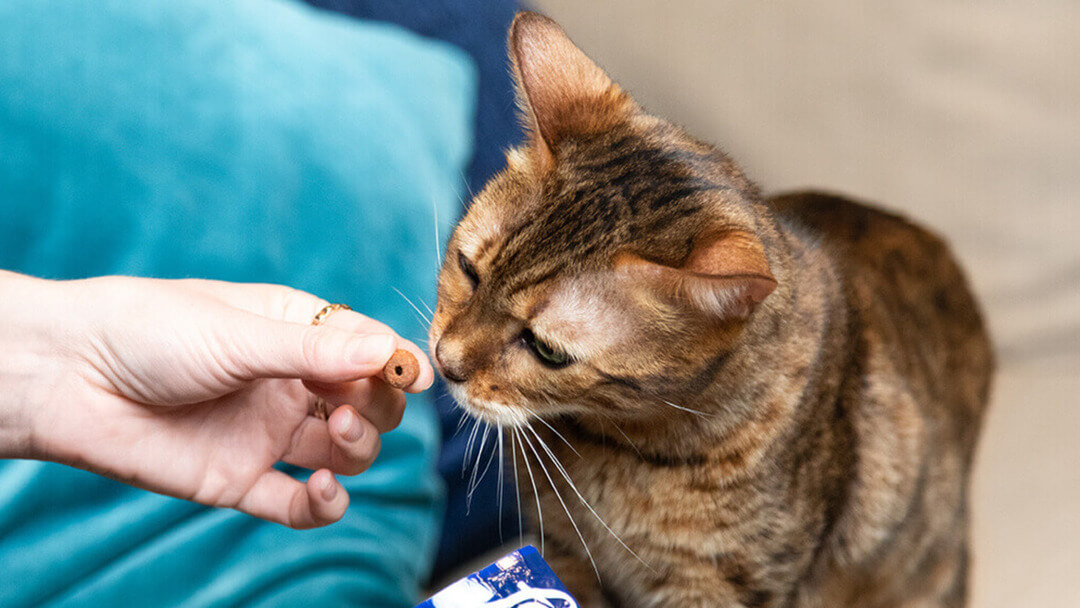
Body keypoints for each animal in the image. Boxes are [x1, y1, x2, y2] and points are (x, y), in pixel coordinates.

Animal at [429, 10, 993, 608]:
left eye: (547, 349)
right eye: (469, 269)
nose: (446, 361)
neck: (614, 449)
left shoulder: (724, 587)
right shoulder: (559, 547)